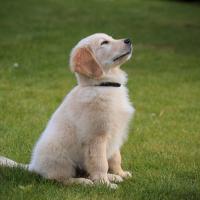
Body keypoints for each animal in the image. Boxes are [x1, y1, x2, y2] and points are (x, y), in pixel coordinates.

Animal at [0, 33, 135, 189]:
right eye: (104, 43)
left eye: (111, 38)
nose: (128, 40)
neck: (103, 85)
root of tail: (34, 166)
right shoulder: (96, 137)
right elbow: (101, 163)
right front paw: (104, 184)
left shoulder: (115, 134)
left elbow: (115, 158)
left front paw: (120, 173)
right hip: (61, 159)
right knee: (59, 179)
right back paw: (83, 181)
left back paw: (110, 177)